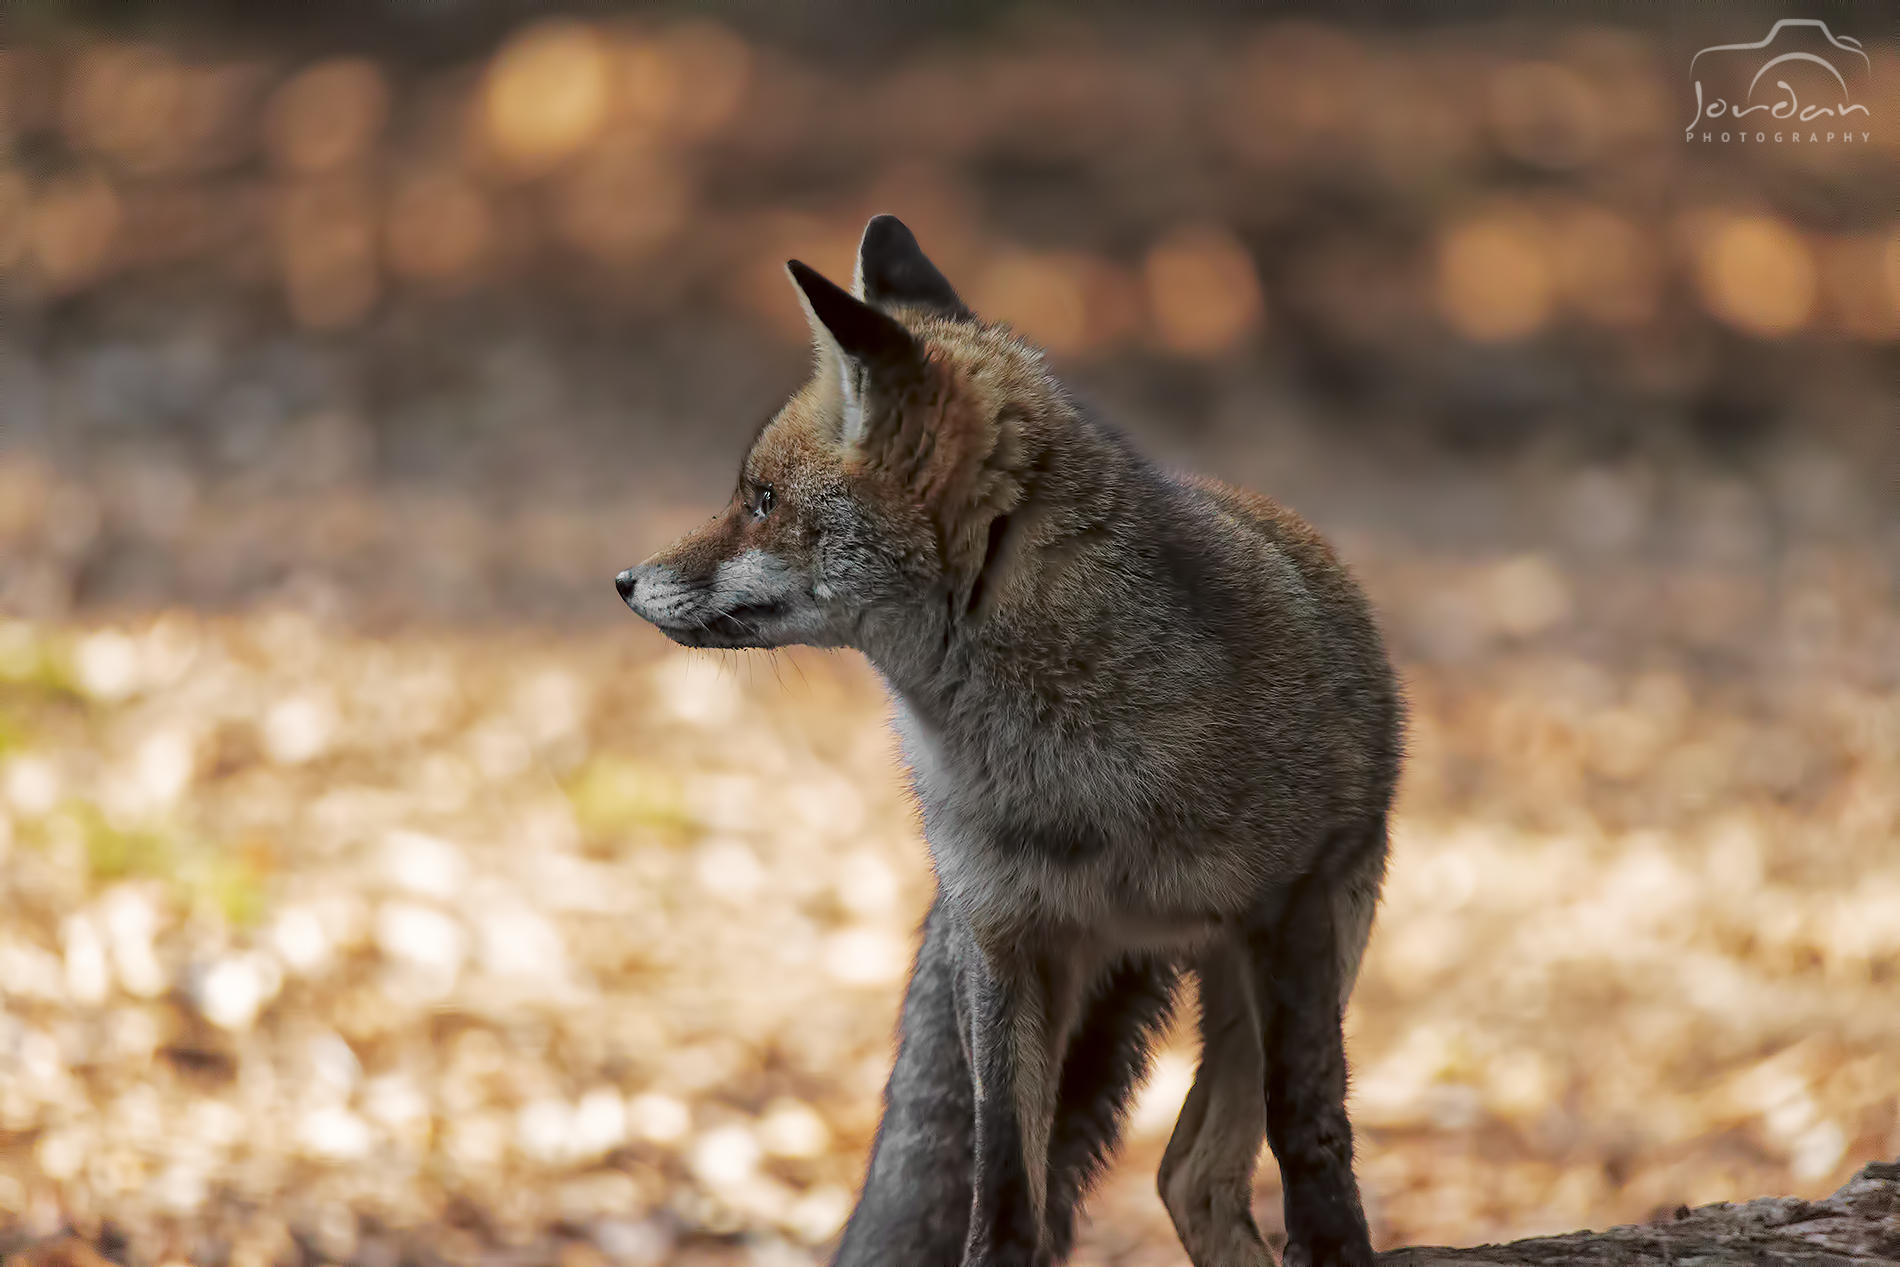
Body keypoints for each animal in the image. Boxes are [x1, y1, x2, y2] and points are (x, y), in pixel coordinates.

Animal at [617, 215, 1402, 1267]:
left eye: (762, 500)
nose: (624, 580)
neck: (1069, 783)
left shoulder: (1296, 903)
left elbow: (1311, 1127)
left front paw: (1335, 1241)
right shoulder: (1008, 939)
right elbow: (1001, 1194)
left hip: (1306, 937)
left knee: (1201, 1166)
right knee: (1185, 1171)